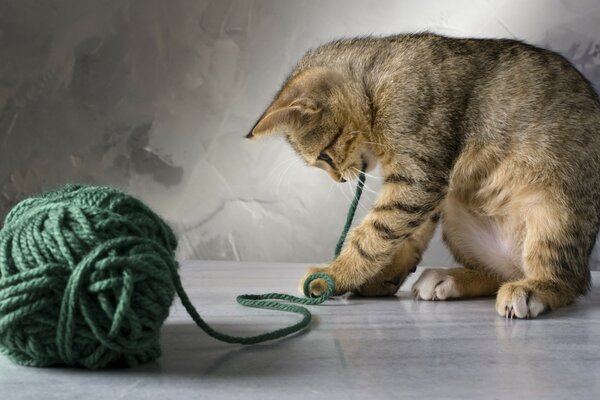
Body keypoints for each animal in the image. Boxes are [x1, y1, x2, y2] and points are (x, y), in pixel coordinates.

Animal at [244, 32, 600, 318]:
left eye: (324, 156)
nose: (340, 180)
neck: (377, 85)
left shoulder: (418, 174)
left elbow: (374, 233)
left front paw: (335, 274)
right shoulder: (426, 184)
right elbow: (403, 234)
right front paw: (379, 277)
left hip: (554, 207)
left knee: (568, 280)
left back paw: (532, 289)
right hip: (457, 210)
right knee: (499, 272)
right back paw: (450, 278)